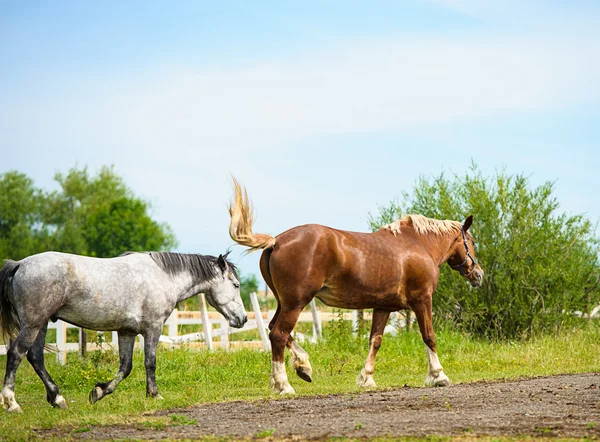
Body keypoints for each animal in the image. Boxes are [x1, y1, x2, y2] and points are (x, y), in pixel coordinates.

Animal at [0, 250, 247, 412]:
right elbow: (150, 362)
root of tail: (19, 264)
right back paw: (12, 403)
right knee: (16, 353)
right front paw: (154, 394)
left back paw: (58, 399)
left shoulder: (126, 332)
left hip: (40, 325)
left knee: (35, 358)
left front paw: (98, 392)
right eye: (235, 285)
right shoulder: (153, 328)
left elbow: (125, 368)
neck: (163, 276)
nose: (243, 318)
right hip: (33, 324)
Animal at [227, 178, 486, 392]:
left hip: (284, 302)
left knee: (274, 329)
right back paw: (283, 384)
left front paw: (366, 378)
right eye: (472, 241)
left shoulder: (383, 307)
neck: (419, 244)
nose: (478, 274)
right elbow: (429, 336)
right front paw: (438, 375)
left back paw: (303, 367)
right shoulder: (423, 300)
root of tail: (275, 241)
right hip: (296, 303)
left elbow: (375, 341)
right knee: (279, 334)